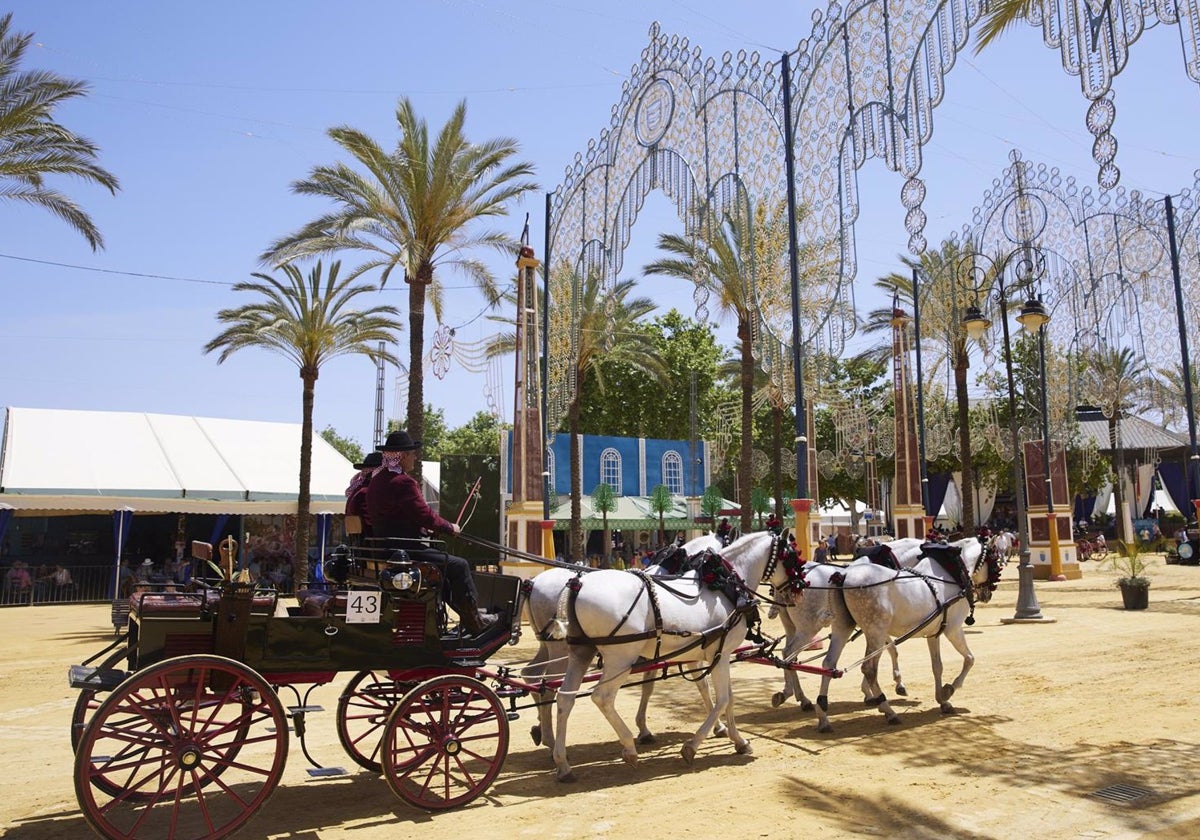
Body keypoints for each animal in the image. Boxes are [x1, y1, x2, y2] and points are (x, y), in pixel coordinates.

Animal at [518, 535, 720, 758]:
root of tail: (533, 582)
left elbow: (648, 687)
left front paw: (643, 729)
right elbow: (702, 685)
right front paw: (720, 726)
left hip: (548, 646)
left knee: (533, 675)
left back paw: (542, 731)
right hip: (559, 650)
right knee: (548, 688)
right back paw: (551, 740)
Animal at [544, 530, 787, 782]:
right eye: (791, 553)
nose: (796, 588)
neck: (724, 585)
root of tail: (578, 583)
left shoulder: (710, 655)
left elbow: (722, 696)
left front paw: (738, 740)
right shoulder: (720, 654)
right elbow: (722, 699)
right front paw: (693, 746)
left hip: (582, 652)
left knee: (564, 698)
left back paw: (562, 763)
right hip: (620, 659)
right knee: (602, 697)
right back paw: (628, 747)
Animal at [816, 537, 1003, 729]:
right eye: (995, 559)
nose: (987, 595)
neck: (951, 572)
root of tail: (843, 575)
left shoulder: (934, 634)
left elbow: (937, 666)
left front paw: (942, 701)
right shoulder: (953, 629)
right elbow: (970, 659)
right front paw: (949, 690)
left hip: (842, 628)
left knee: (829, 664)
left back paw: (823, 715)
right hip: (875, 631)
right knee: (869, 669)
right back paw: (888, 710)